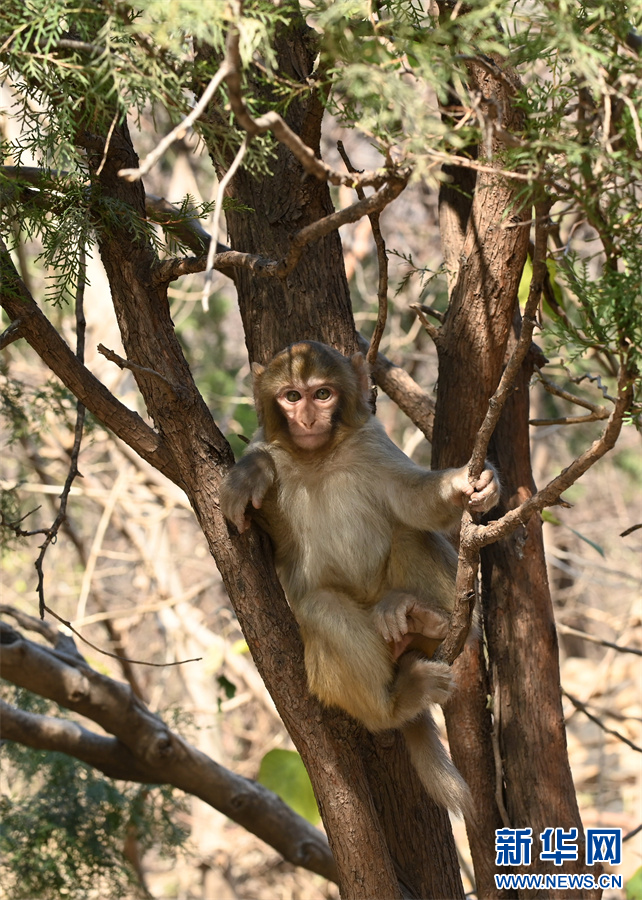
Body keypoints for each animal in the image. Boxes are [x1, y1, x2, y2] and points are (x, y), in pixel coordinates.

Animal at [221, 340, 500, 816]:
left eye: (322, 394)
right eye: (291, 396)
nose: (307, 419)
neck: (317, 457)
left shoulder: (371, 441)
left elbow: (412, 502)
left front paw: (469, 484)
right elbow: (269, 536)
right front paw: (252, 471)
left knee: (408, 534)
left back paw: (432, 621)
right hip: (327, 674)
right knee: (323, 609)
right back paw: (396, 702)